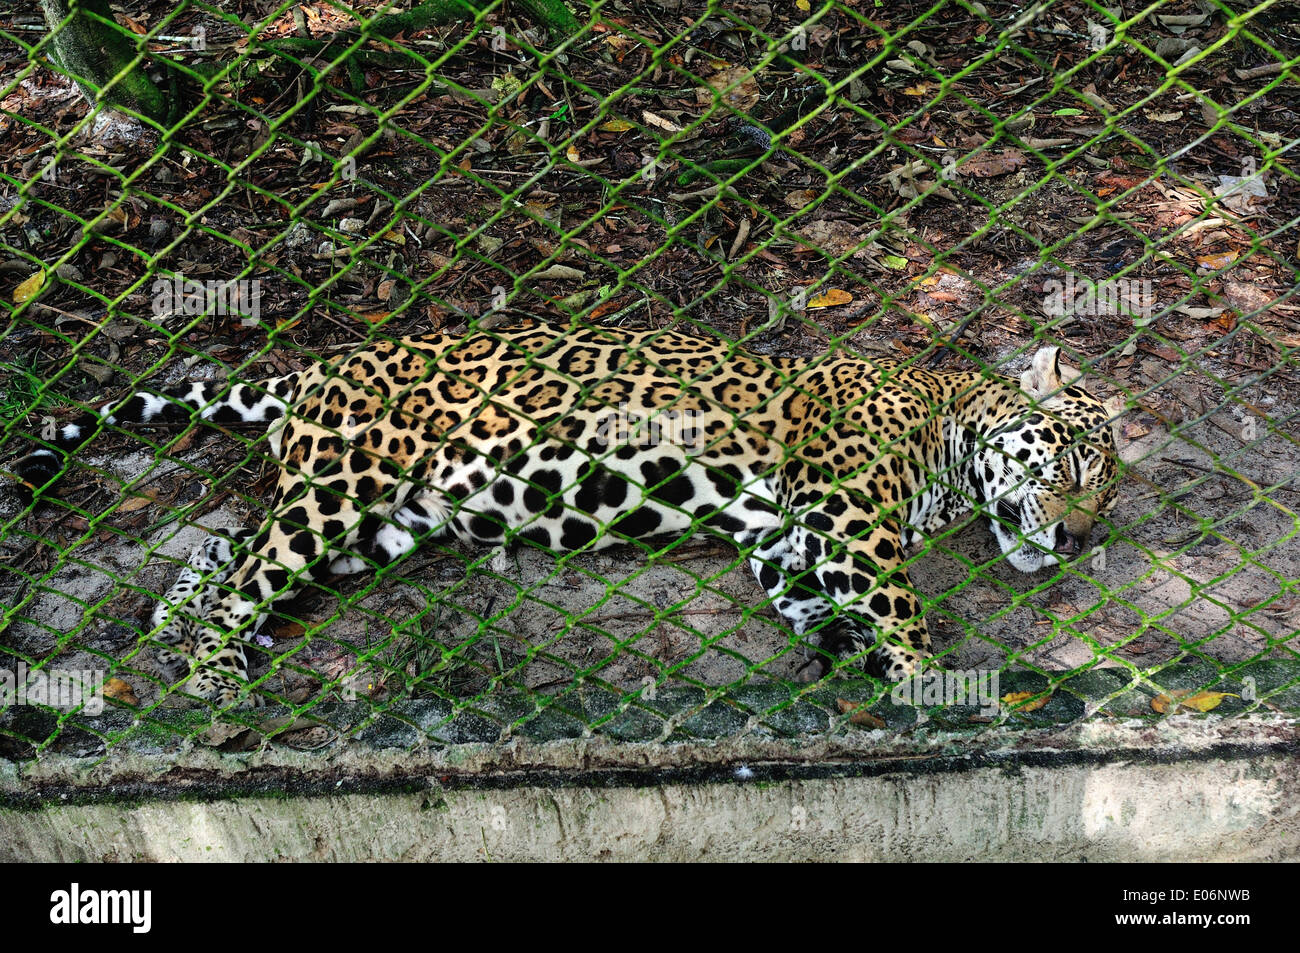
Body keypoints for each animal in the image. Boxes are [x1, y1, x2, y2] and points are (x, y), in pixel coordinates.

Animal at [12, 319, 1120, 706]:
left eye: (1105, 498)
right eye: (1073, 461)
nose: (1076, 538)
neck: (947, 430)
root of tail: (313, 369)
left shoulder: (784, 533)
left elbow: (812, 601)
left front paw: (842, 658)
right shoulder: (847, 513)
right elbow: (897, 605)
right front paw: (933, 684)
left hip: (380, 520)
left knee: (229, 552)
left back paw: (178, 627)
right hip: (339, 485)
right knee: (250, 570)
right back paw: (207, 670)